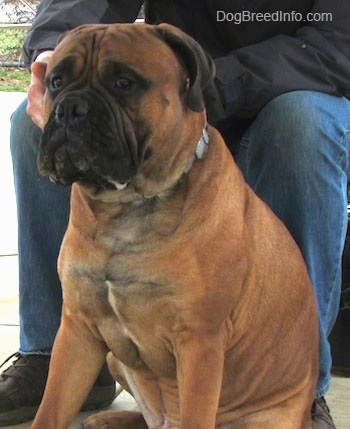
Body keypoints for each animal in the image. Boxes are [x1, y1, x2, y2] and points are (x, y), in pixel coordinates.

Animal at [32, 23, 320, 428]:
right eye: (56, 81)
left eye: (125, 82)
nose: (70, 108)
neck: (127, 206)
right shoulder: (78, 330)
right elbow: (51, 407)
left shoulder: (200, 342)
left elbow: (197, 412)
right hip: (111, 357)